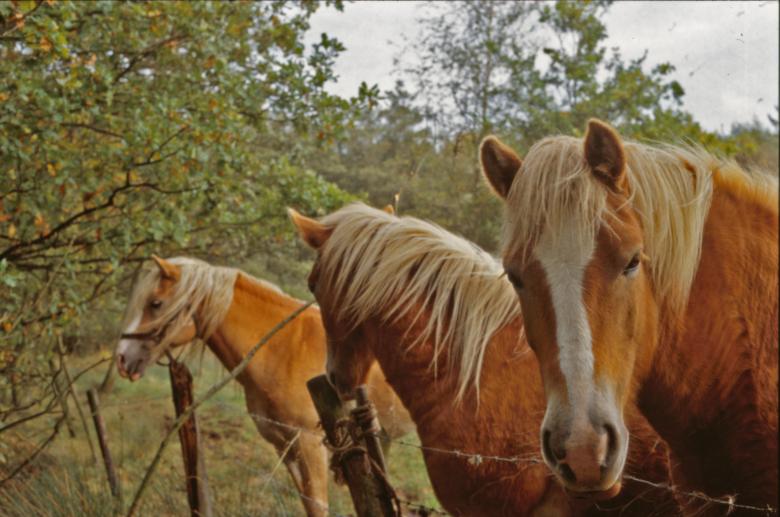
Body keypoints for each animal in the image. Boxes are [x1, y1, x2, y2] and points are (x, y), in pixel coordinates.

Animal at [114, 256, 413, 516]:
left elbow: (318, 505)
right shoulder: (285, 448)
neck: (284, 347)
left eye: (155, 303)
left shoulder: (310, 444)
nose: (122, 358)